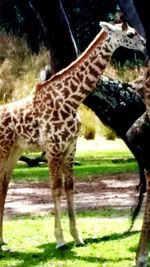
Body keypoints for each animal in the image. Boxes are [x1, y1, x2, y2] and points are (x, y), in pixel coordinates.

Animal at [0, 19, 145, 251]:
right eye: (131, 34)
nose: (144, 45)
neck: (70, 99)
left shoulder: (70, 147)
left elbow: (69, 187)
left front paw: (77, 237)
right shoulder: (53, 147)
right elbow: (56, 188)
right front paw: (59, 240)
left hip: (14, 151)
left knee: (4, 184)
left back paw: (2, 240)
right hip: (4, 149)